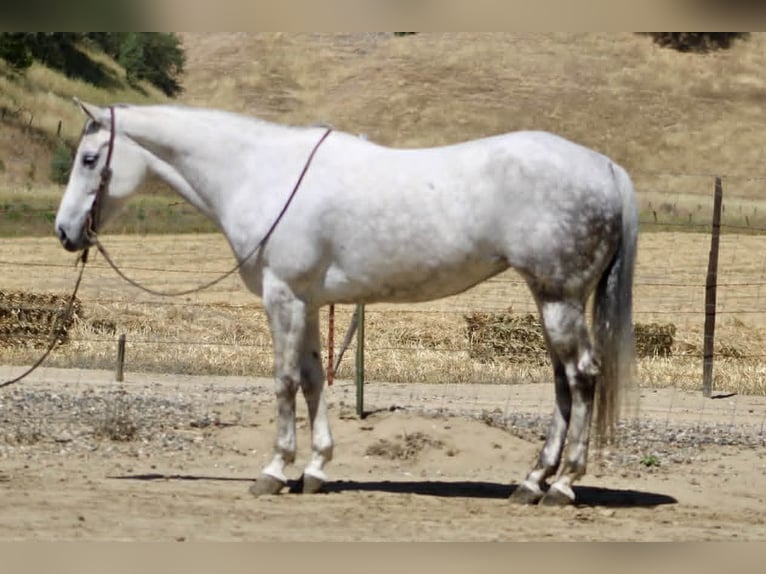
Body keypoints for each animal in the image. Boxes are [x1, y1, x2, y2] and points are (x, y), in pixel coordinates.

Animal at [55, 100, 637, 505]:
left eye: (89, 159)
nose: (64, 231)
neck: (261, 173)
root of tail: (606, 168)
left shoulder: (283, 297)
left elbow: (284, 380)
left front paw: (274, 470)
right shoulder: (309, 302)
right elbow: (314, 379)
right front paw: (315, 469)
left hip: (559, 299)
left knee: (582, 377)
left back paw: (562, 484)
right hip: (550, 301)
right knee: (563, 383)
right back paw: (531, 482)